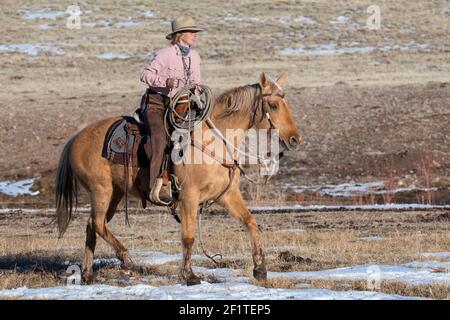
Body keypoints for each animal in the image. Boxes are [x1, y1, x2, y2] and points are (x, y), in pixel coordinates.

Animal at [57, 72, 302, 284]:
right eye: (273, 105)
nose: (295, 139)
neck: (213, 141)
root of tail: (76, 138)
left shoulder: (227, 195)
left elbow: (250, 222)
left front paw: (260, 269)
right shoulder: (188, 198)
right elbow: (189, 236)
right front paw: (189, 276)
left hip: (115, 193)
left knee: (92, 225)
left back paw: (88, 274)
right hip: (101, 190)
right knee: (98, 223)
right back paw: (128, 260)